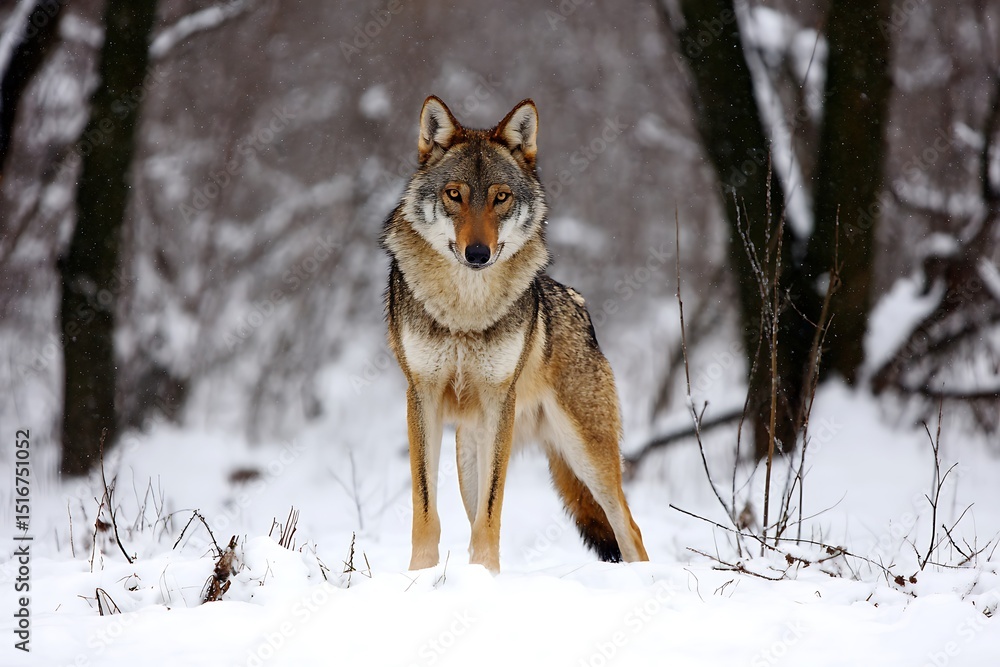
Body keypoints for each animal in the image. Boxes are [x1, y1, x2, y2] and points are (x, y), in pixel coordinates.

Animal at [381, 96, 649, 573]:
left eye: (500, 197)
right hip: (469, 448)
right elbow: (426, 509)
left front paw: (485, 576)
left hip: (586, 454)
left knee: (629, 529)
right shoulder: (421, 395)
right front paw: (422, 577)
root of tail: (581, 305)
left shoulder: (498, 401)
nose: (477, 253)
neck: (465, 311)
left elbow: (492, 511)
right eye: (454, 195)